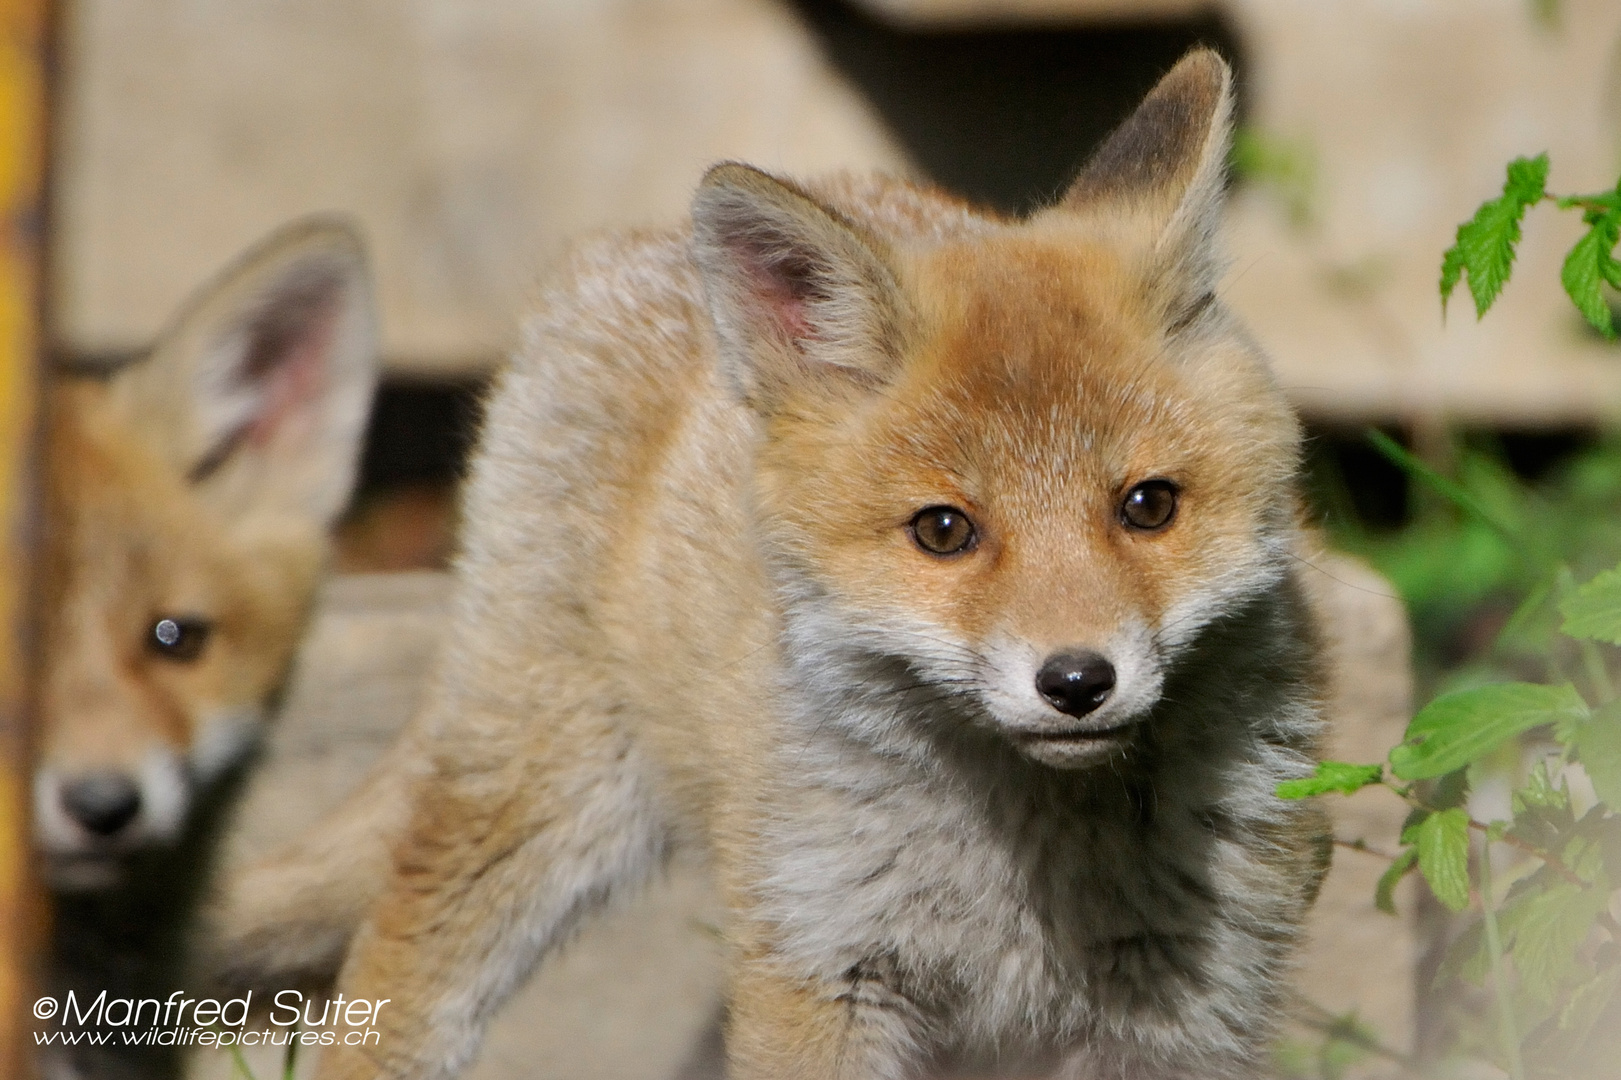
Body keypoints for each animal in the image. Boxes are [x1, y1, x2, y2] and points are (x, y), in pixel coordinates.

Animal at [209, 52, 1322, 1076]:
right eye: (944, 531)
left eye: (1148, 507)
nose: (1078, 681)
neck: (1022, 880)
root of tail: (633, 242)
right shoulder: (820, 966)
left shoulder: (1181, 1018)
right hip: (546, 786)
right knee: (399, 962)